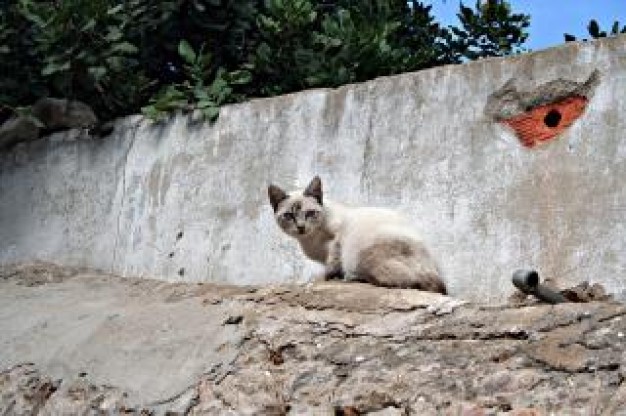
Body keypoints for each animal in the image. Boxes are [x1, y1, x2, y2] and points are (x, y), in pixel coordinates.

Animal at [266, 177, 446, 294]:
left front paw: (324, 279)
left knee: (405, 282)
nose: (301, 227)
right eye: (289, 216)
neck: (310, 239)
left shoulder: (336, 239)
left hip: (362, 257)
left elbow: (331, 267)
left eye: (310, 213)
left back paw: (353, 278)